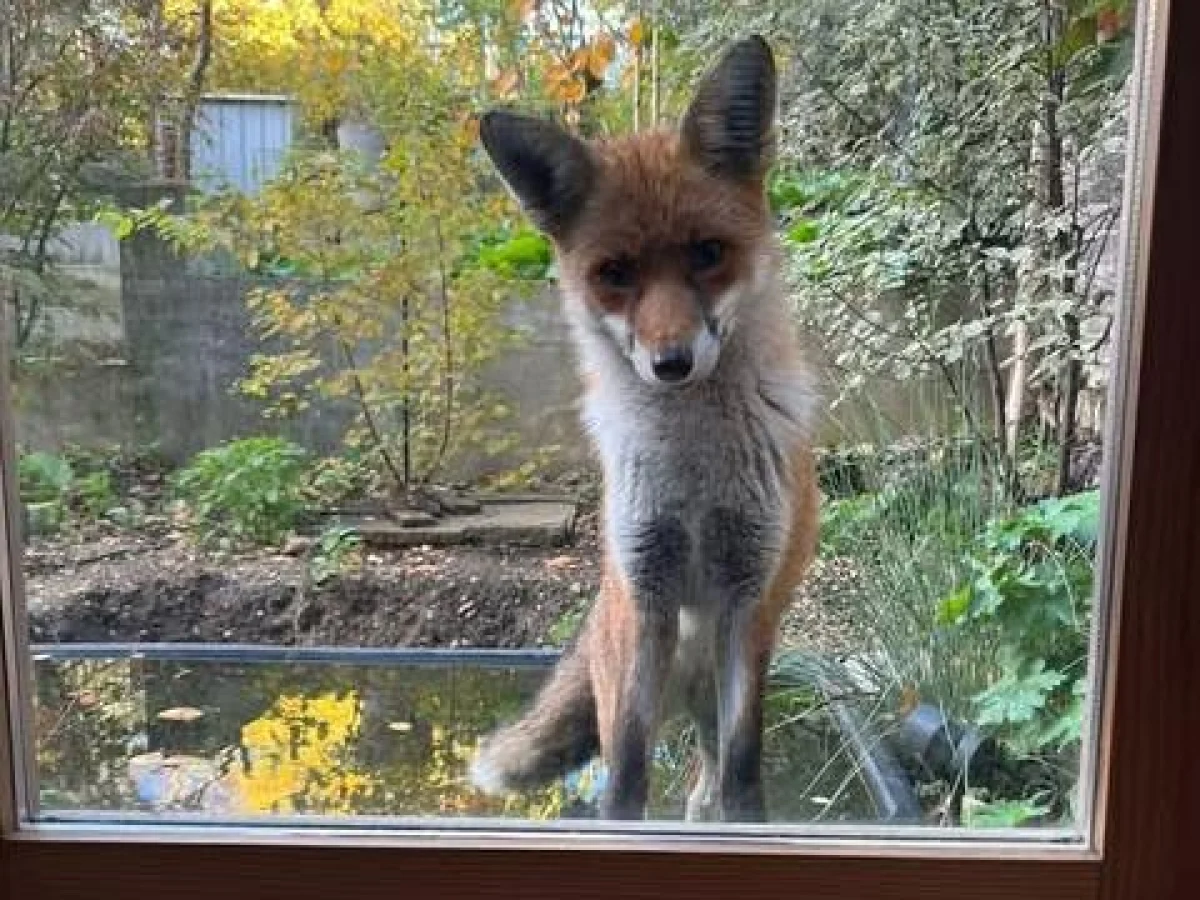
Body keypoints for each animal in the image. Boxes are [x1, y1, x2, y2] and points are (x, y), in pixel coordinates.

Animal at [470, 35, 820, 822]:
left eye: (707, 253)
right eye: (616, 273)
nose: (671, 363)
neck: (694, 476)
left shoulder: (746, 604)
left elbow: (743, 772)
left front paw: (744, 826)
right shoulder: (649, 597)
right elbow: (626, 774)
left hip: (716, 674)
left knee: (710, 766)